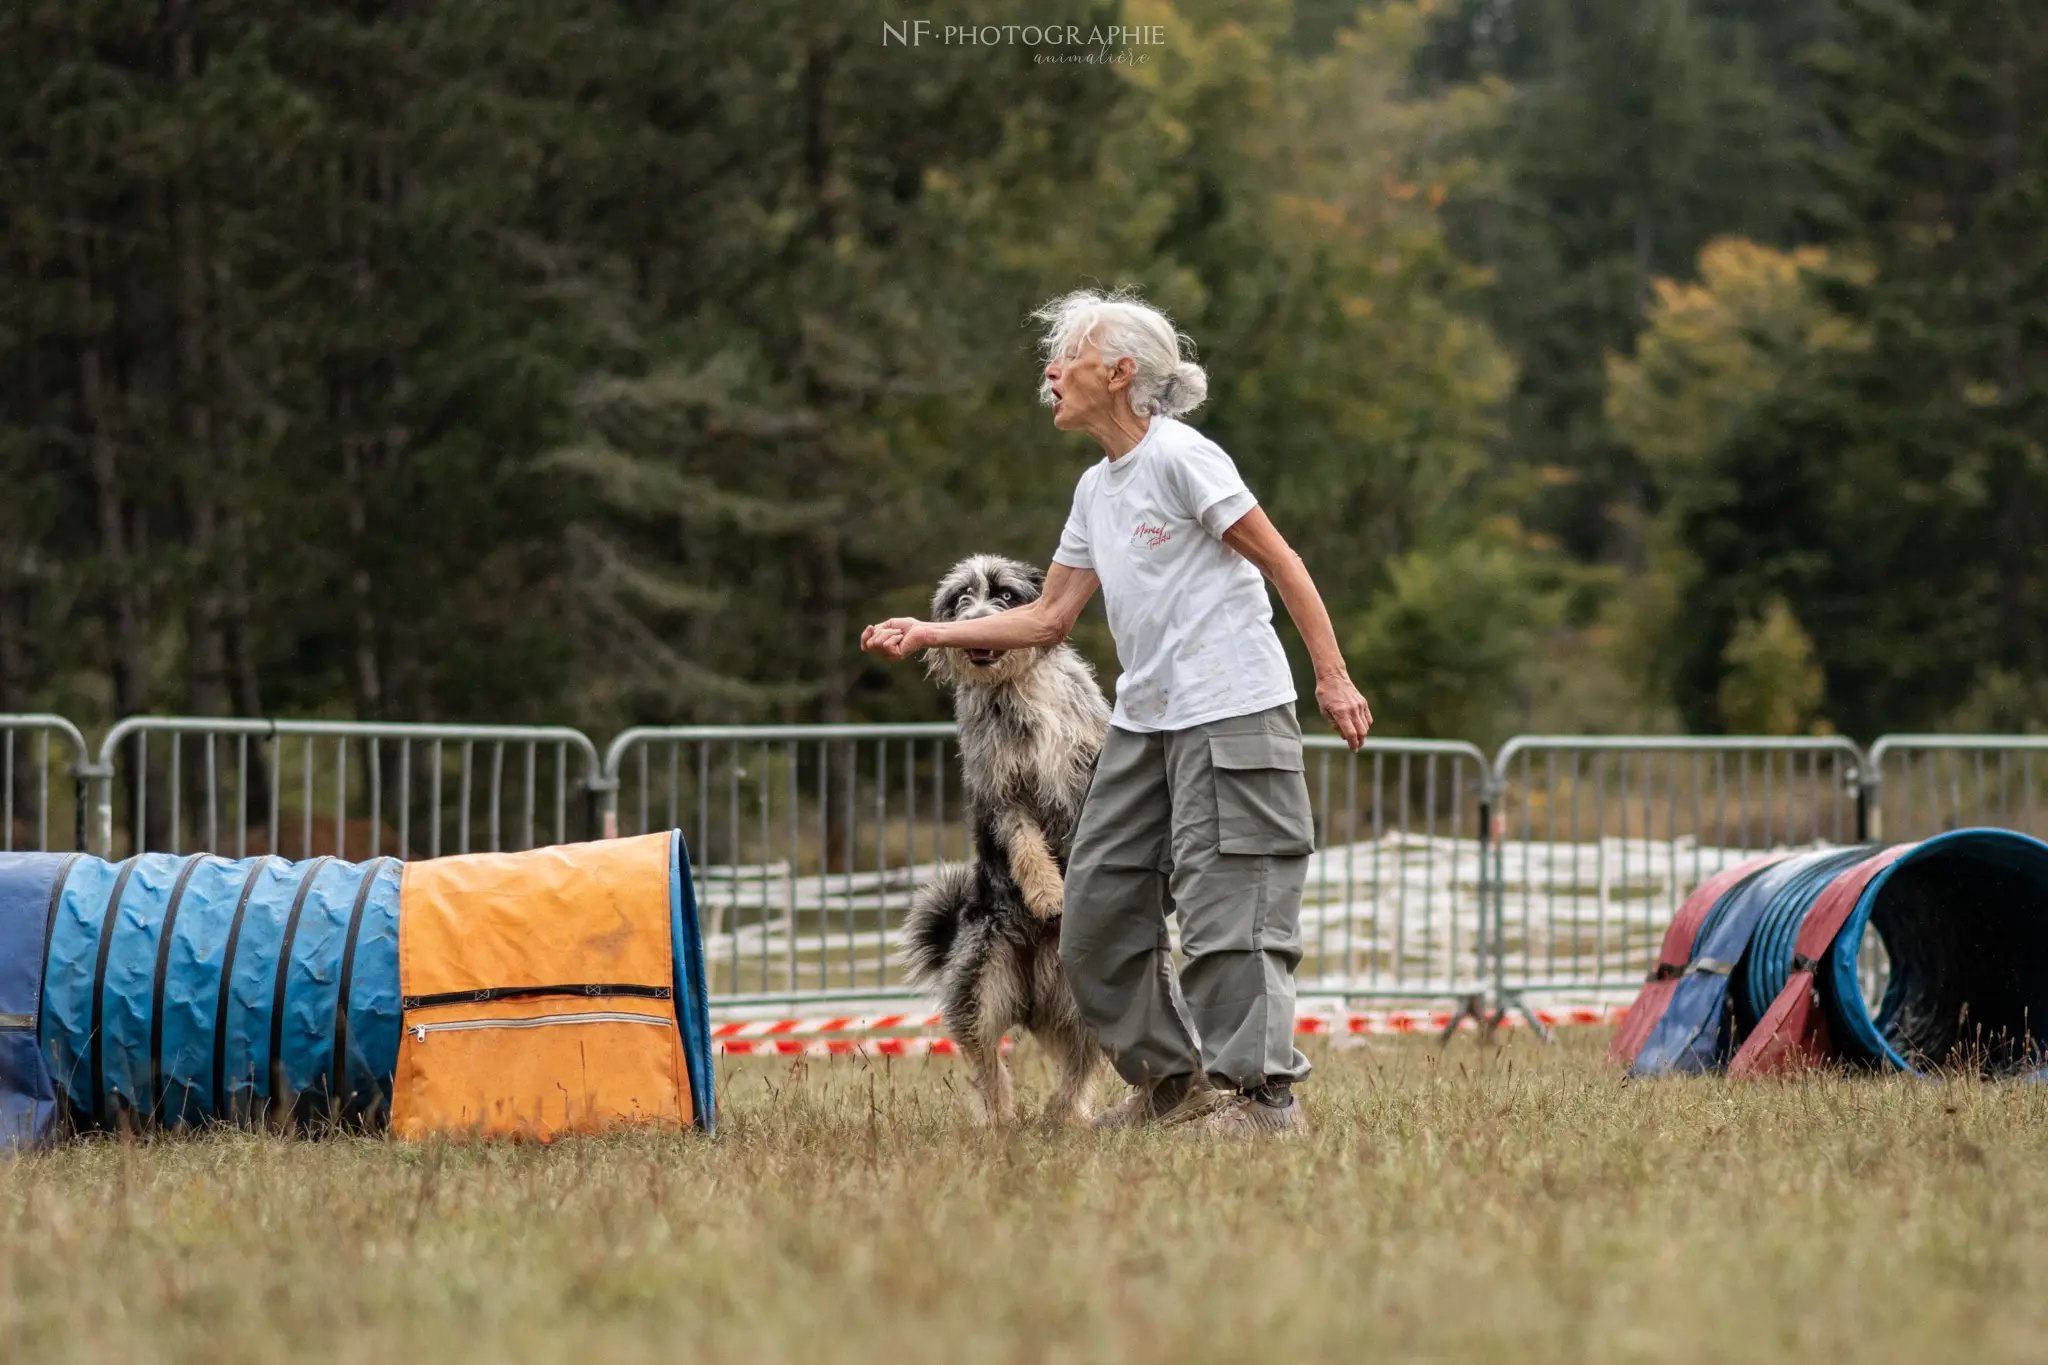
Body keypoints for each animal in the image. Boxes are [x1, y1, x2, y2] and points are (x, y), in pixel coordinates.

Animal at [905, 548, 1114, 1129]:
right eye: (960, 599)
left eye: (1004, 594)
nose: (976, 622)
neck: (1018, 689)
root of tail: (1033, 987)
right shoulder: (1002, 792)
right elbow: (1023, 843)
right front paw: (1046, 893)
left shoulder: (1084, 766)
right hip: (979, 983)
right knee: (989, 1064)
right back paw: (1004, 1122)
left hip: (1083, 1003)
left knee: (1081, 1065)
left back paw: (1066, 1116)